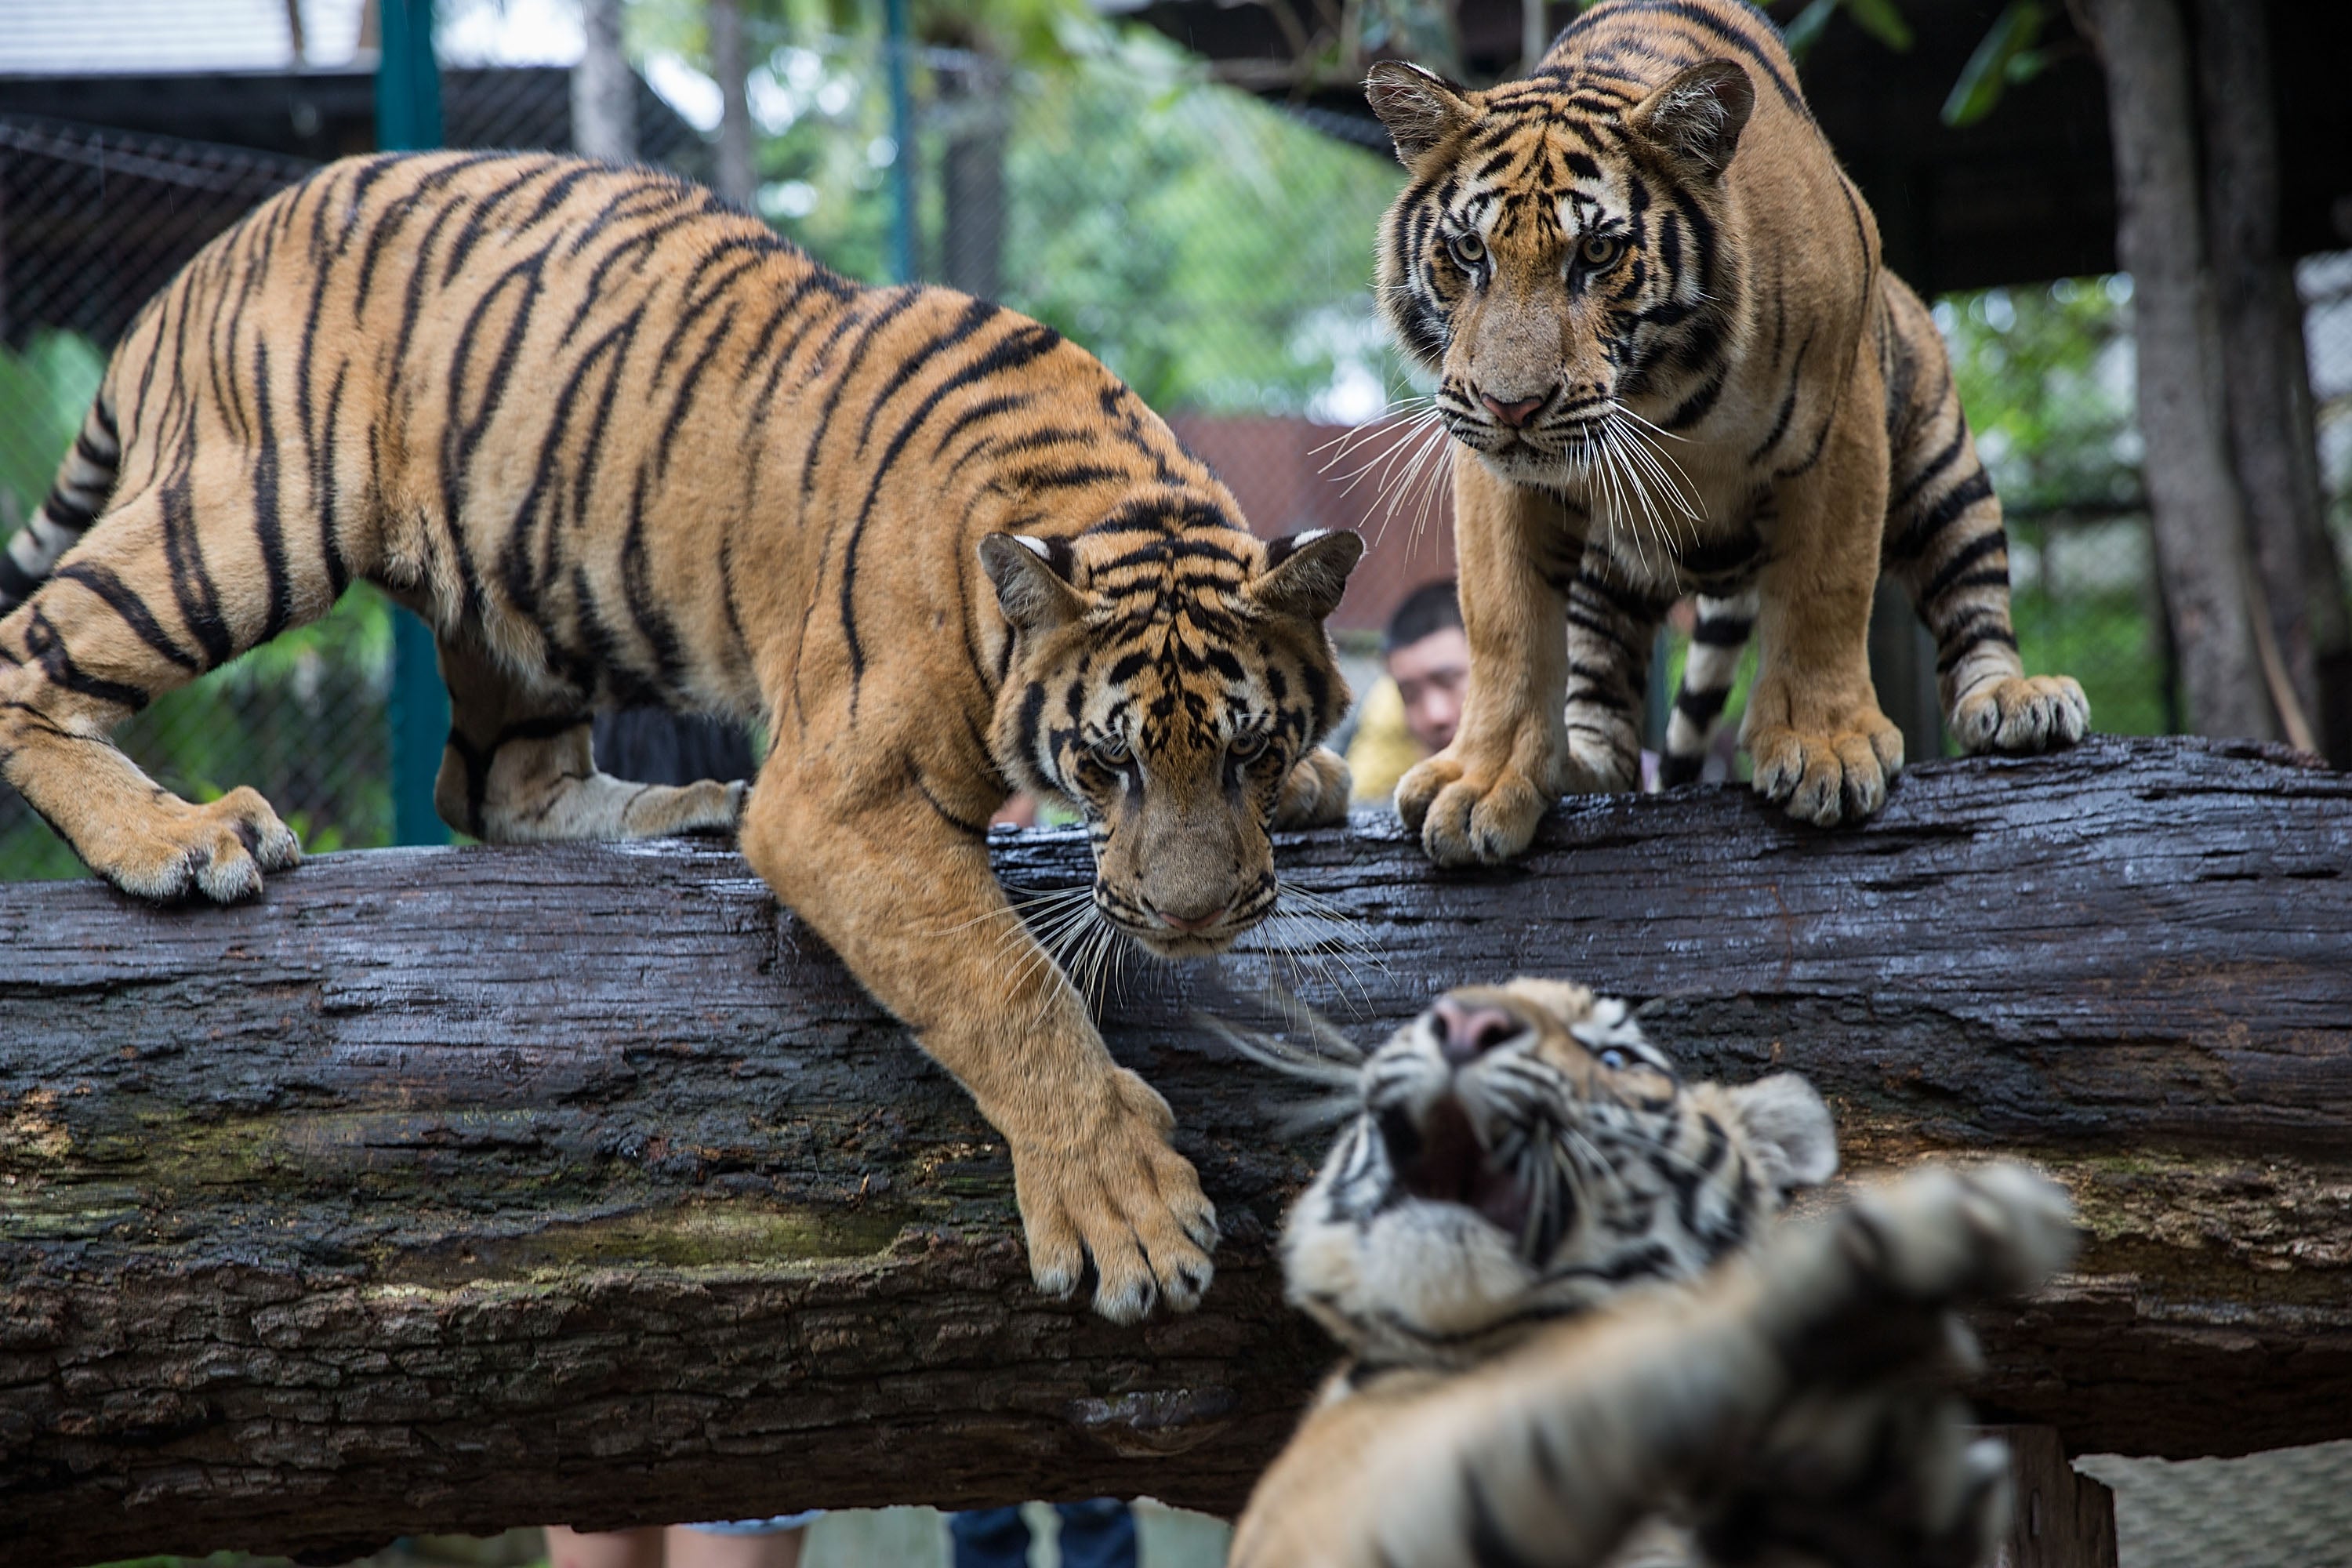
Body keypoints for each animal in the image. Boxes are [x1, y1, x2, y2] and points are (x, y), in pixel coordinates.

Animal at [0, 150, 1369, 1325]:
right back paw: (180, 838)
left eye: (1245, 751)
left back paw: (682, 807)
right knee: (28, 654)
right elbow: (1004, 985)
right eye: (1106, 761)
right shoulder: (839, 801)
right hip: (257, 510)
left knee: (487, 783)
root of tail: (200, 265)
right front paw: (1126, 1214)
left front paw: (1320, 782)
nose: (1193, 920)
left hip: (524, 586)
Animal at [1362, 0, 2090, 866]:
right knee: (1603, 681)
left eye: (1597, 252)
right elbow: (1504, 623)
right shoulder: (1493, 464)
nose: (1514, 407)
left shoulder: (1842, 427)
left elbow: (1827, 587)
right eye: (1470, 250)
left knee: (1971, 593)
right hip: (1610, 565)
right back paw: (1579, 760)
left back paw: (2016, 700)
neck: (1662, 397)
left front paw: (1825, 747)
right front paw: (1484, 780)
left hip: (1940, 466)